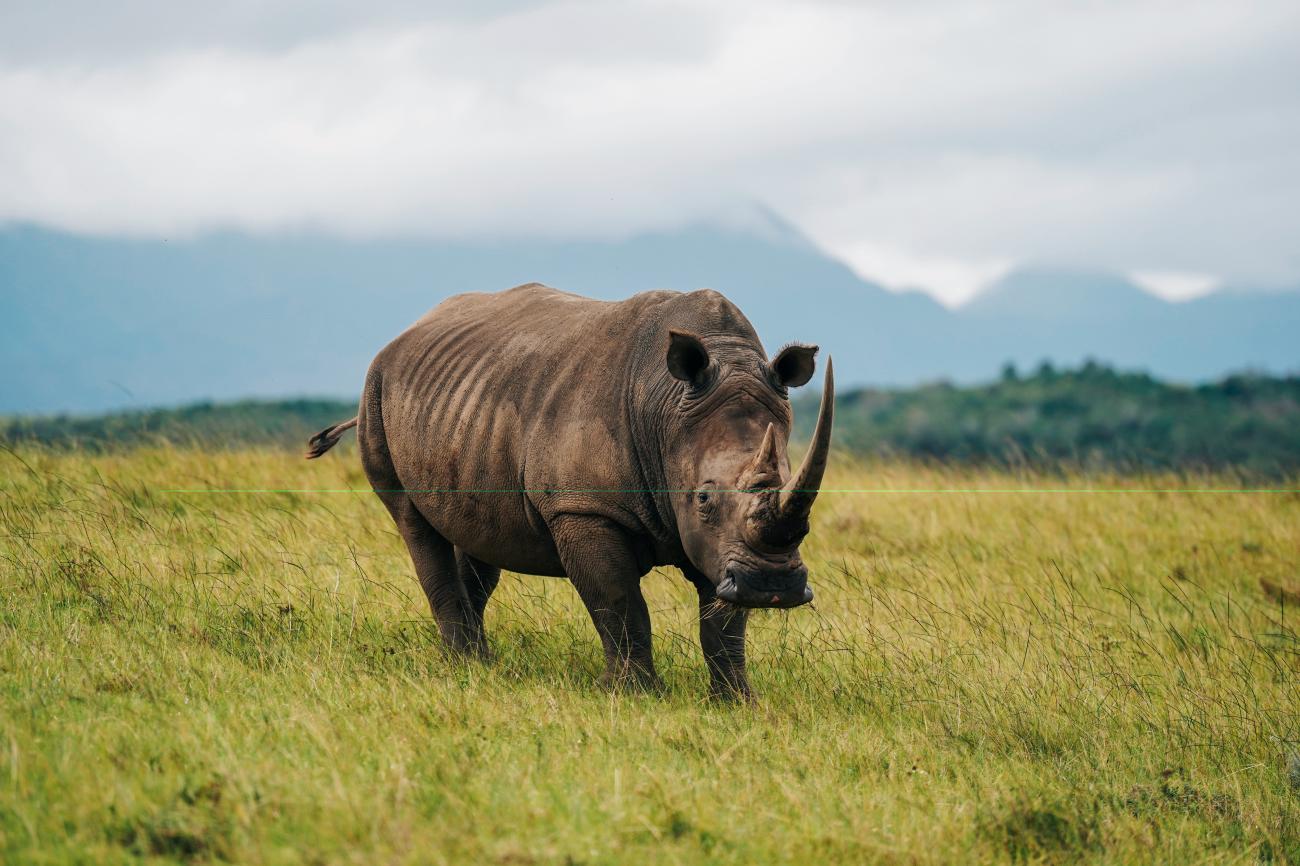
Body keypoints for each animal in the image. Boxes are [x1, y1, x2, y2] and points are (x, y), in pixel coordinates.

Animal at [307, 283, 833, 699]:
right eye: (703, 498)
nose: (772, 587)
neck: (666, 412)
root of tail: (405, 334)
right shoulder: (584, 508)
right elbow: (619, 601)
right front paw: (636, 696)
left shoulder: (722, 545)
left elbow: (723, 622)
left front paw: (738, 703)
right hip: (375, 393)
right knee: (414, 524)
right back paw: (462, 667)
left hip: (464, 405)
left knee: (477, 536)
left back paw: (480, 665)